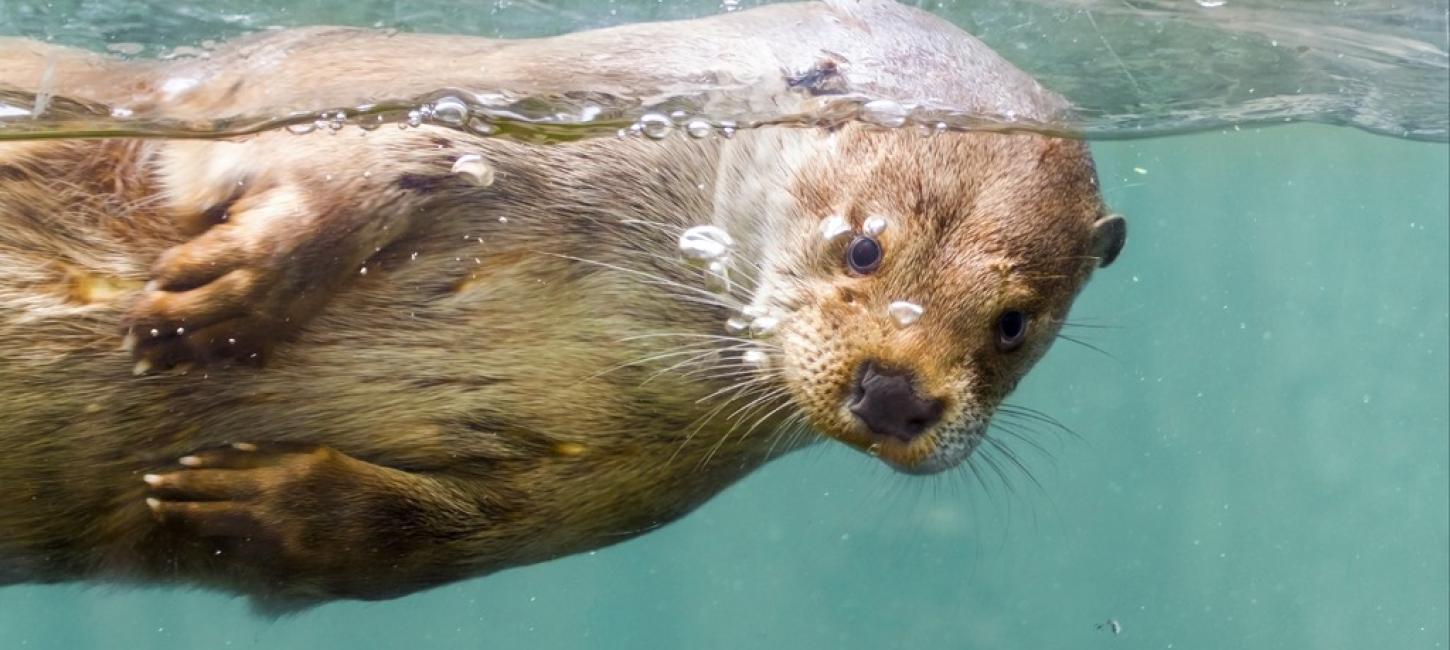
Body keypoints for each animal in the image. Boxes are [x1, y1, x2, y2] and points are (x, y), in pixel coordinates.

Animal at [0, 0, 1125, 612]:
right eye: (864, 243)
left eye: (1014, 323)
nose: (894, 395)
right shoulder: (361, 86)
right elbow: (354, 161)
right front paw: (225, 296)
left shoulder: (634, 486)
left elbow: (436, 540)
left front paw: (262, 504)